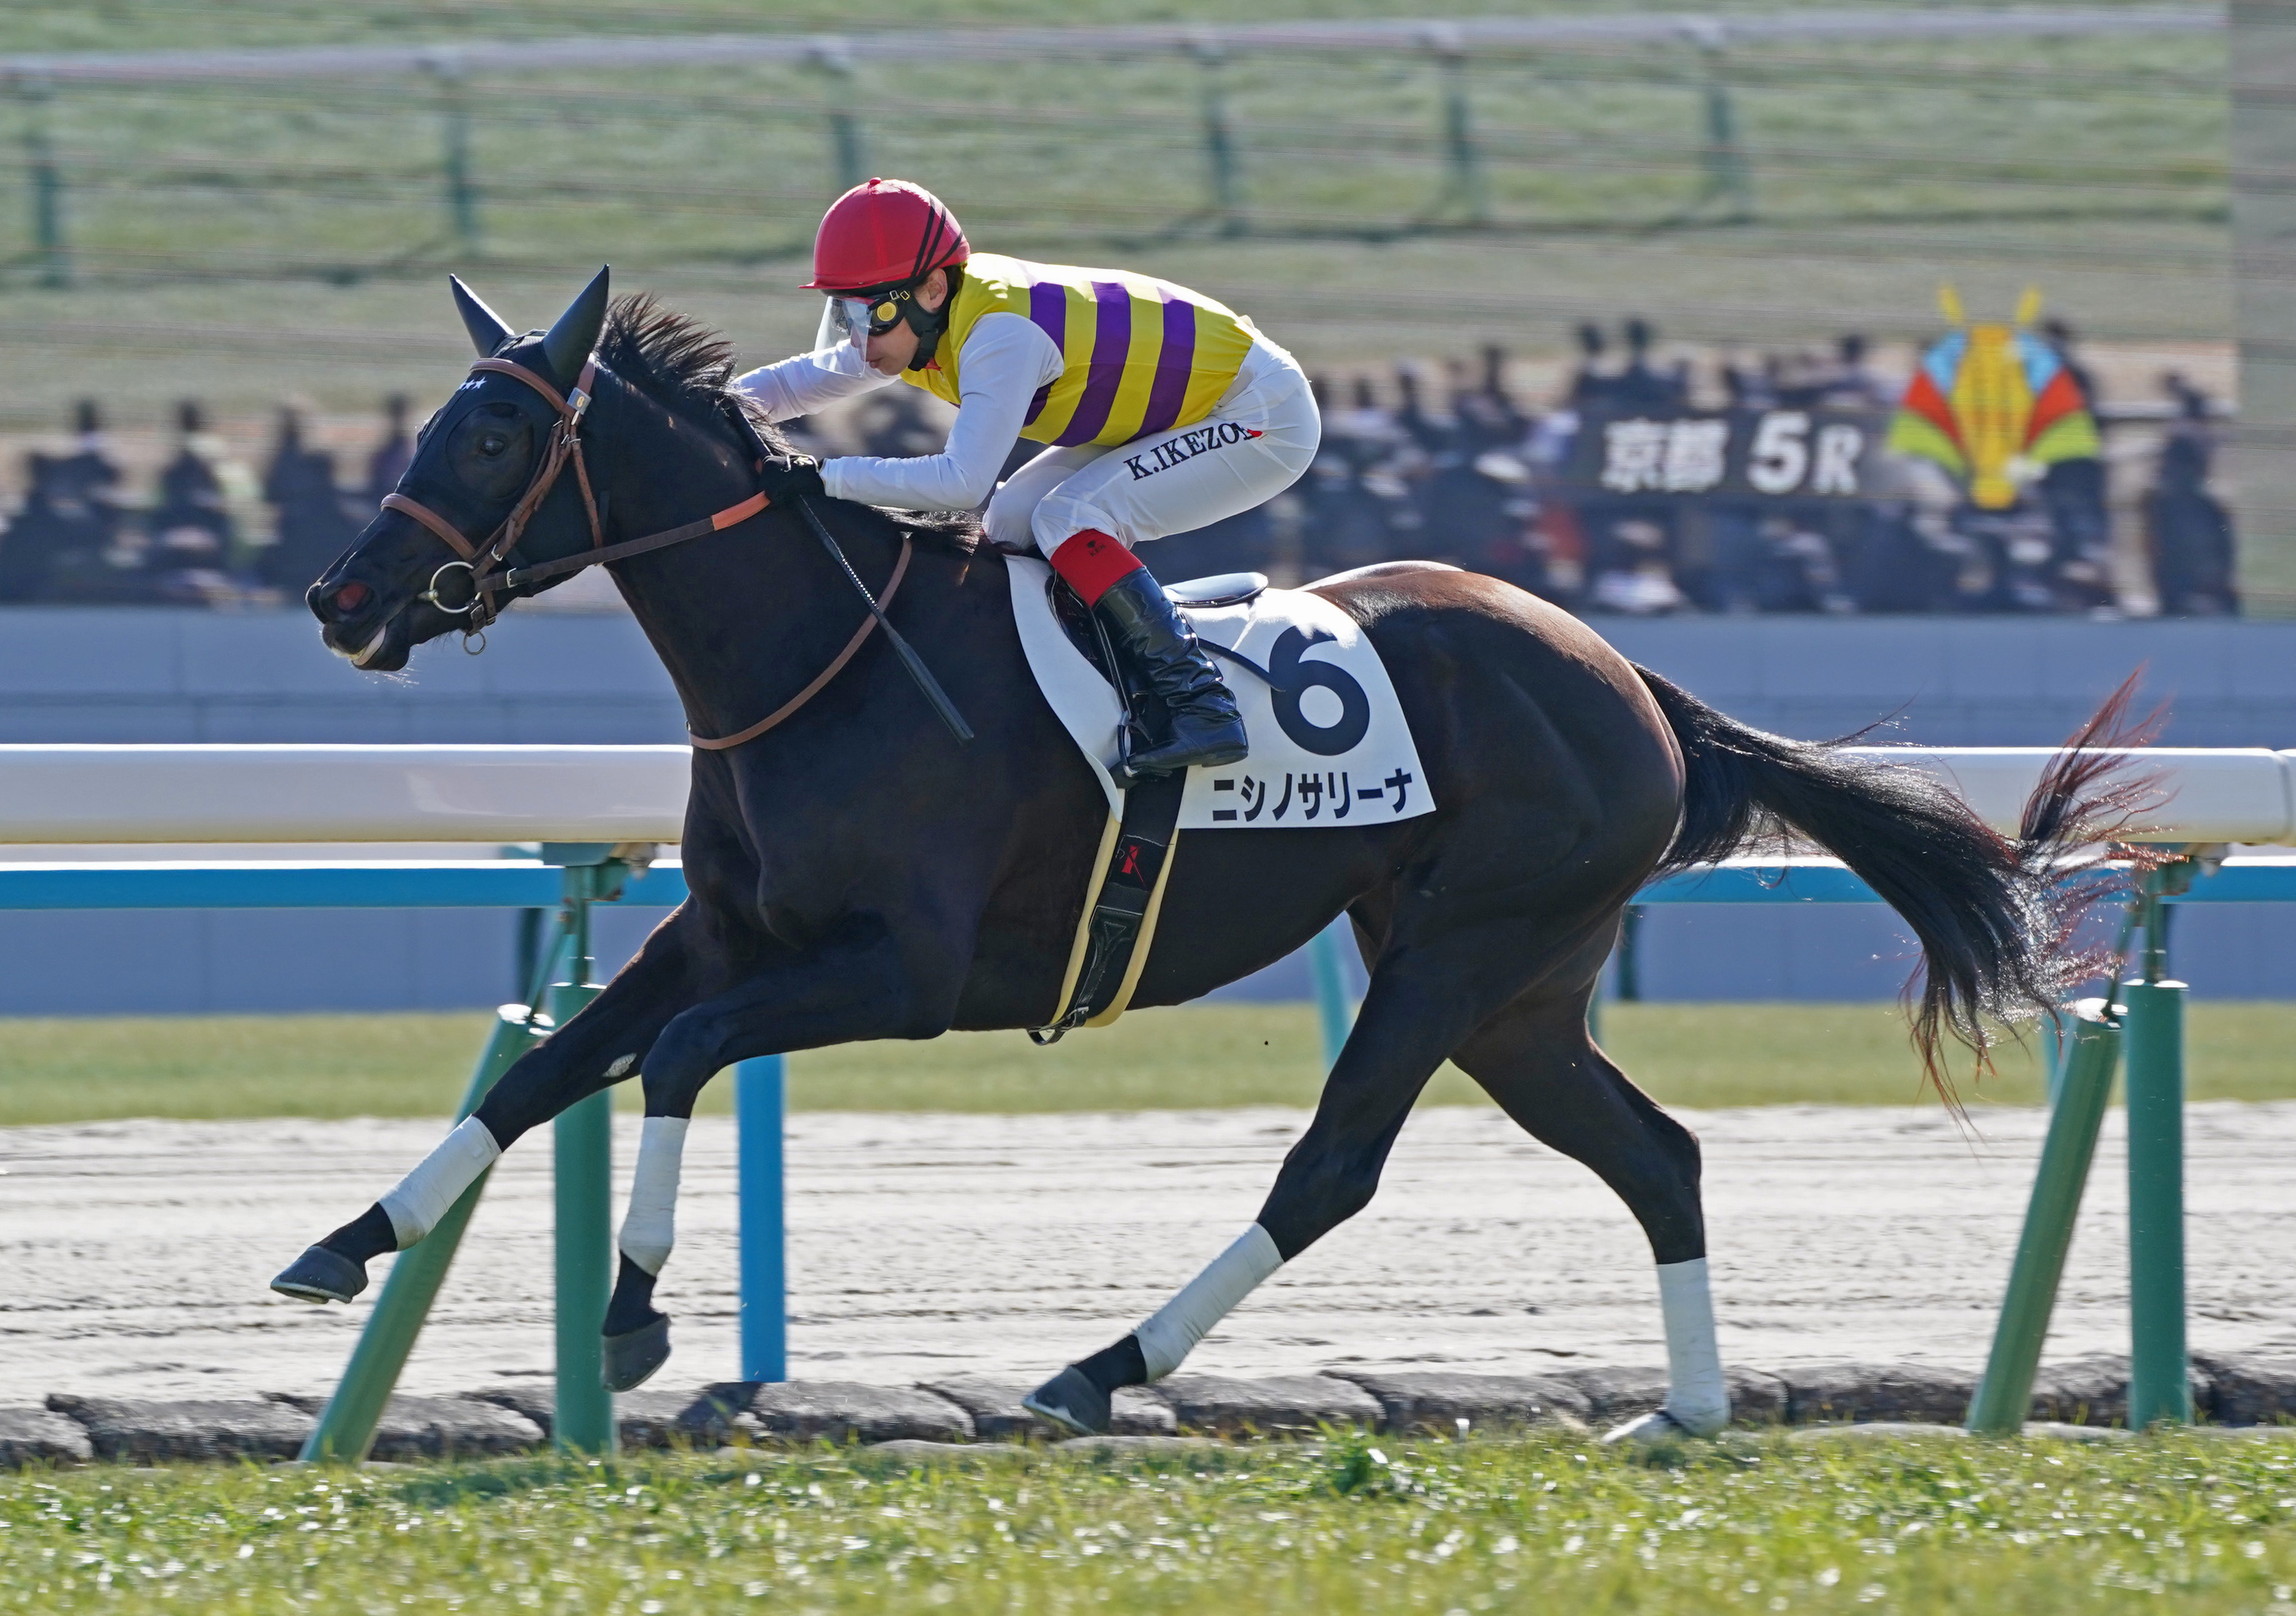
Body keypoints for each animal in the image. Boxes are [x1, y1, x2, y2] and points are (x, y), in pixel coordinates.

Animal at [280, 268, 2114, 1442]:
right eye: (433, 424)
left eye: (493, 442)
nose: (341, 597)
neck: (830, 655)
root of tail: (1626, 676)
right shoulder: (729, 936)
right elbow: (545, 1070)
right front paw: (346, 1239)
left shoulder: (901, 971)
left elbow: (667, 1059)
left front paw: (634, 1311)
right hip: (1520, 989)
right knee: (1656, 1156)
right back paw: (1685, 1409)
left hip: (1456, 948)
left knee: (1330, 1170)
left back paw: (1099, 1366)